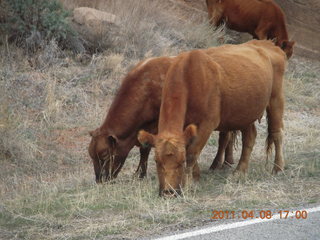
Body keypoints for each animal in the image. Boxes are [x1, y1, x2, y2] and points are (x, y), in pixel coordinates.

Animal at [89, 56, 234, 184]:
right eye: (91, 156)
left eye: (104, 155)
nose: (100, 180)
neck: (146, 86)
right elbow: (144, 148)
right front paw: (140, 173)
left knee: (225, 138)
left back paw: (219, 164)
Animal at [139, 39, 286, 197]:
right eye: (156, 161)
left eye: (181, 161)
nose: (168, 191)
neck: (189, 76)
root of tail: (267, 44)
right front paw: (195, 177)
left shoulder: (207, 124)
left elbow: (192, 153)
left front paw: (188, 183)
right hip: (245, 112)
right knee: (250, 137)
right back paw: (240, 171)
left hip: (276, 100)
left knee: (277, 133)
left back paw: (278, 167)